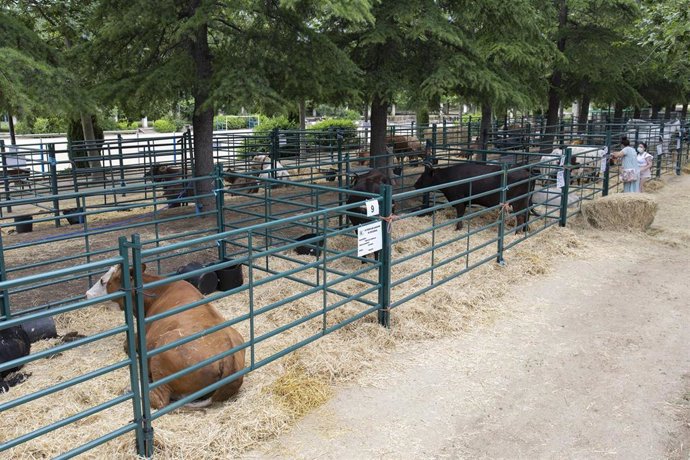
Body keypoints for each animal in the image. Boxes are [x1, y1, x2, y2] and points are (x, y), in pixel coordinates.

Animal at [86, 264, 245, 409]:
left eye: (103, 280)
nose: (86, 294)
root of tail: (229, 358)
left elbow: (126, 344)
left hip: (161, 356)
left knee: (160, 400)